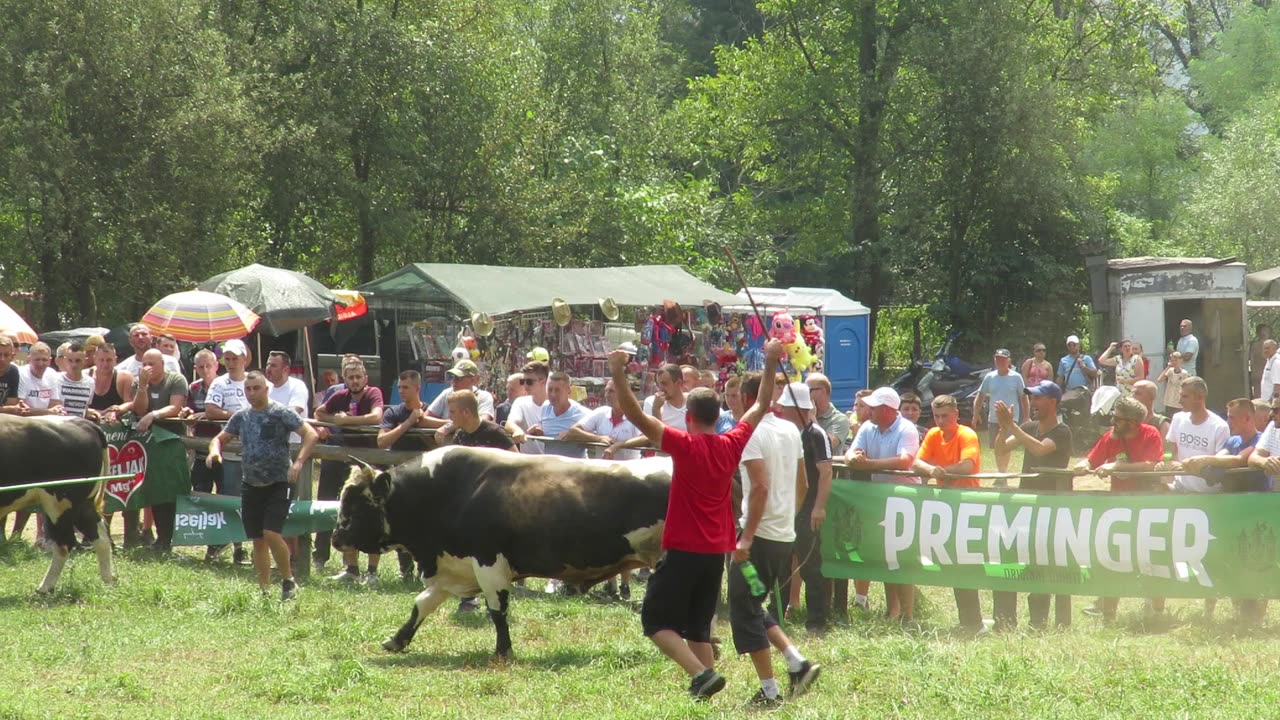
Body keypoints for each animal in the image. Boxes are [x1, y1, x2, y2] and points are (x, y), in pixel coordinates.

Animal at [0, 412, 115, 591]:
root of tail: (84, 423)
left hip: (61, 503)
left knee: (65, 542)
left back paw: (45, 587)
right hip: (81, 504)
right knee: (100, 534)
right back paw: (108, 581)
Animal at [330, 445, 675, 661]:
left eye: (356, 504)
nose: (336, 537)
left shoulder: (489, 563)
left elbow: (498, 611)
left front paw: (502, 652)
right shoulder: (452, 568)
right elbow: (422, 604)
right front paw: (397, 640)